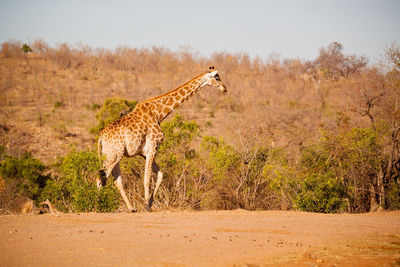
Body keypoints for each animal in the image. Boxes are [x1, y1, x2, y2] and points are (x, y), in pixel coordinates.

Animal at [97, 66, 227, 211]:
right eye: (217, 77)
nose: (224, 88)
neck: (159, 113)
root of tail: (101, 136)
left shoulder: (145, 152)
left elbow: (160, 175)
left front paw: (150, 203)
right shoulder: (153, 146)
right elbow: (147, 178)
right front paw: (146, 205)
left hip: (114, 155)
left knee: (115, 180)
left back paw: (130, 208)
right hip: (113, 155)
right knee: (101, 178)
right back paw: (98, 206)